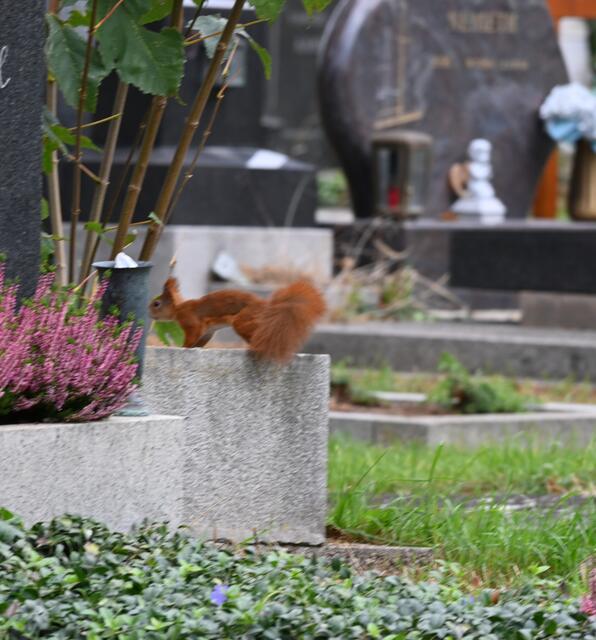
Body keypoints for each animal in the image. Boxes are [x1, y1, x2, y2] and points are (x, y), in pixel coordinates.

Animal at [149, 278, 326, 363]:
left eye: (156, 304)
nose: (148, 313)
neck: (178, 308)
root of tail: (266, 307)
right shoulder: (207, 332)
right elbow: (200, 341)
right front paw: (194, 348)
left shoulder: (191, 321)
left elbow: (191, 336)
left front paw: (183, 348)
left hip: (242, 321)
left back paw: (254, 347)